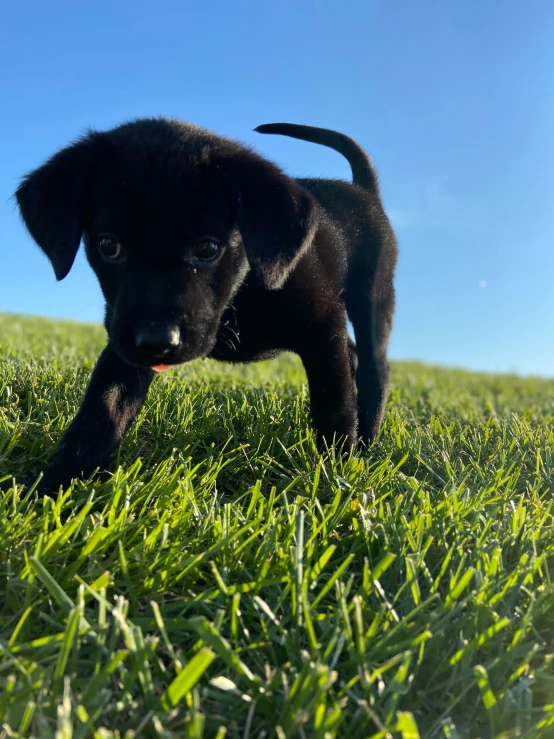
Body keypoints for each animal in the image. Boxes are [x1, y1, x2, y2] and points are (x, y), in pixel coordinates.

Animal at [15, 120, 394, 492]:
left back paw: (367, 441)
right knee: (354, 354)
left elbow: (334, 406)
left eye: (208, 249)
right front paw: (53, 485)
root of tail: (365, 191)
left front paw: (335, 477)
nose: (156, 341)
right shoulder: (124, 342)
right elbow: (102, 409)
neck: (242, 291)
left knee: (374, 368)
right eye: (109, 246)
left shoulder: (322, 327)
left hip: (372, 300)